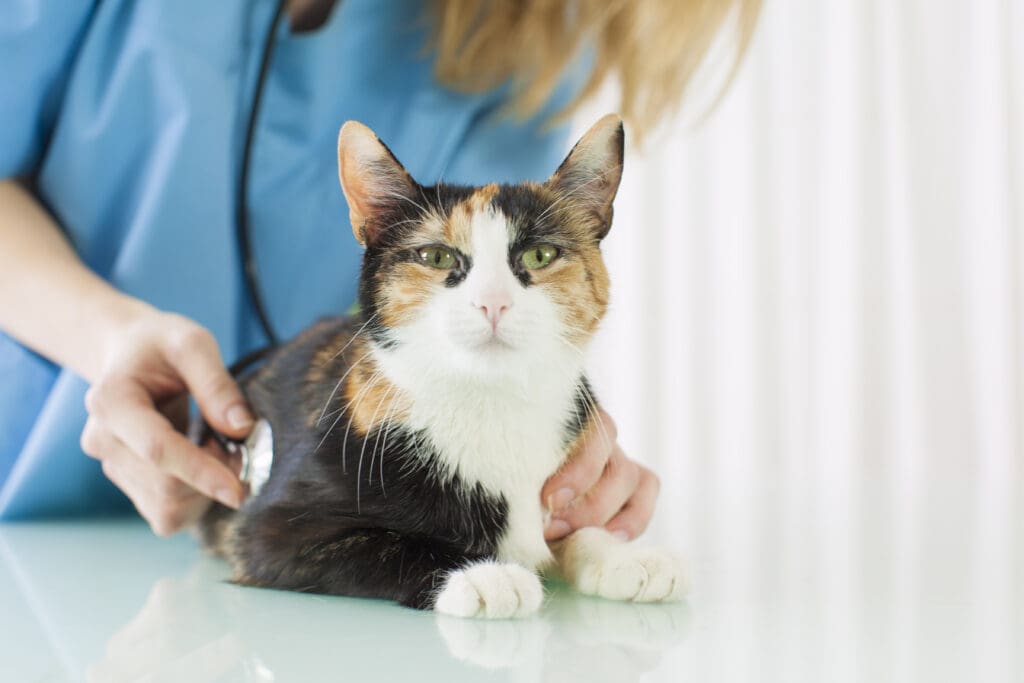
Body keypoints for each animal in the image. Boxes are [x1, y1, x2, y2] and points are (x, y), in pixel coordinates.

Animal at [195, 114, 684, 618]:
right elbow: (390, 543)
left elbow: (575, 525)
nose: (493, 302)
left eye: (540, 255)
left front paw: (619, 554)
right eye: (436, 256)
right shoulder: (269, 530)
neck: (491, 403)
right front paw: (483, 573)